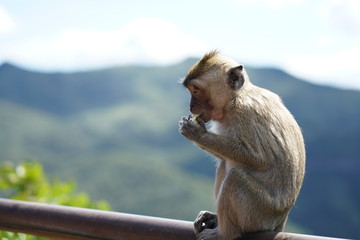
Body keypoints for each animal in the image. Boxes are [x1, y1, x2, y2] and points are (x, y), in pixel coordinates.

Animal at [179, 50, 306, 240]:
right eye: (190, 90)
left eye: (196, 90)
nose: (191, 106)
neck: (234, 100)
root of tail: (279, 222)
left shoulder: (247, 114)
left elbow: (260, 159)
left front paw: (196, 133)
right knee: (224, 165)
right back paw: (215, 219)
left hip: (259, 214)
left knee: (235, 178)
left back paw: (223, 233)